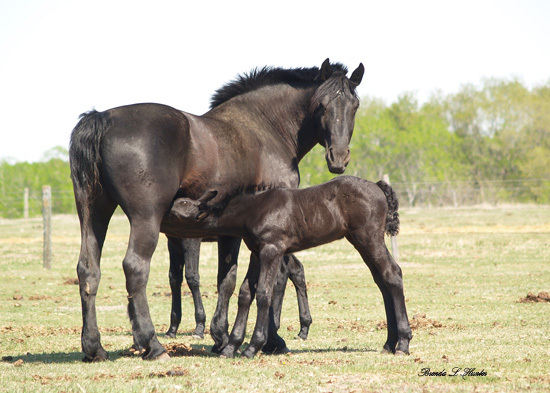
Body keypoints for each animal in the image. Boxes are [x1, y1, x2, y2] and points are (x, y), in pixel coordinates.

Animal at [168, 176, 414, 356]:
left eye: (180, 207)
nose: (161, 214)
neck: (255, 207)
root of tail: (378, 186)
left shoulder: (272, 250)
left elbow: (264, 293)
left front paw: (252, 347)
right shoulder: (257, 252)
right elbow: (246, 293)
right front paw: (231, 346)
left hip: (369, 238)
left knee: (393, 274)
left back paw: (402, 343)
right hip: (359, 241)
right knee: (382, 280)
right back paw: (389, 343)